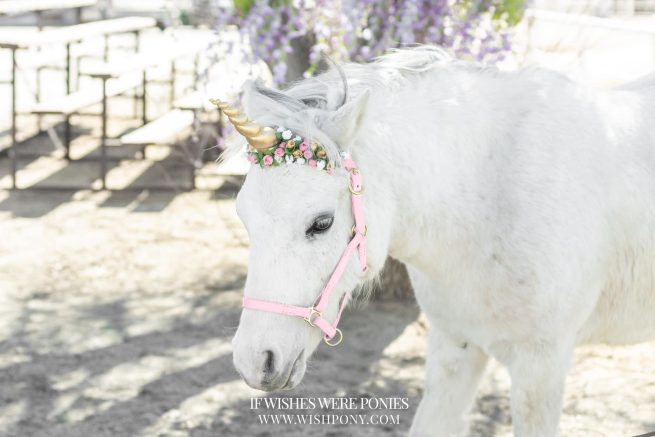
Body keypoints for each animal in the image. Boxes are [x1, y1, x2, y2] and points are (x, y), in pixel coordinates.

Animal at [221, 46, 655, 436]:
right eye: (244, 216)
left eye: (321, 223)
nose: (255, 360)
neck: (491, 196)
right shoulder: (455, 348)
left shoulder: (541, 368)